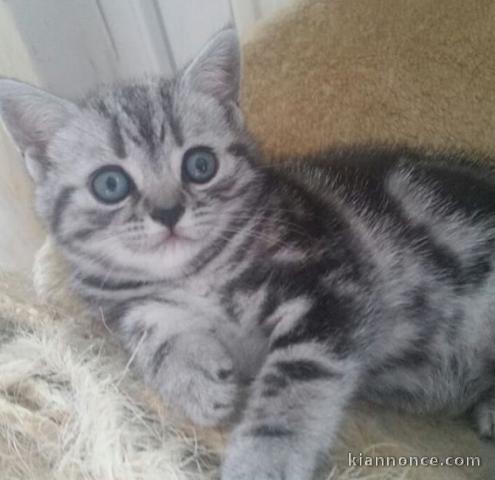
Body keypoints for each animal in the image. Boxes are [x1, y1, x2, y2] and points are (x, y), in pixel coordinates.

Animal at [0, 29, 495, 480]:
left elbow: (295, 379)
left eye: (200, 165)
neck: (194, 276)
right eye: (110, 184)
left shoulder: (330, 280)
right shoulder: (128, 302)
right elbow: (151, 330)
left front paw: (265, 458)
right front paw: (192, 379)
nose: (168, 212)